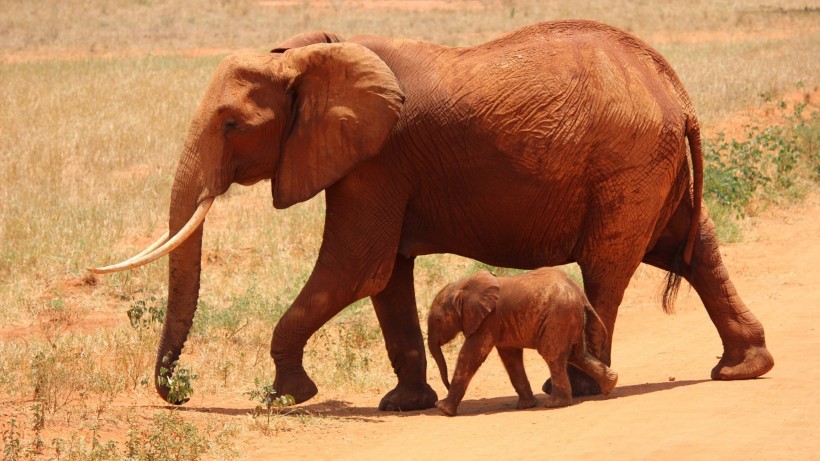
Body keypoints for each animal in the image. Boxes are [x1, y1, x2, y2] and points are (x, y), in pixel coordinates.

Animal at [430, 268, 616, 416]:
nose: (446, 386)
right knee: (577, 355)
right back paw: (610, 385)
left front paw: (443, 409)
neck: (463, 286)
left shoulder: (488, 320)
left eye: (438, 320)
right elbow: (510, 358)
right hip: (570, 317)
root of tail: (579, 292)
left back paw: (555, 404)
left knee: (553, 356)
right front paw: (526, 406)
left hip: (559, 316)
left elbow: (470, 355)